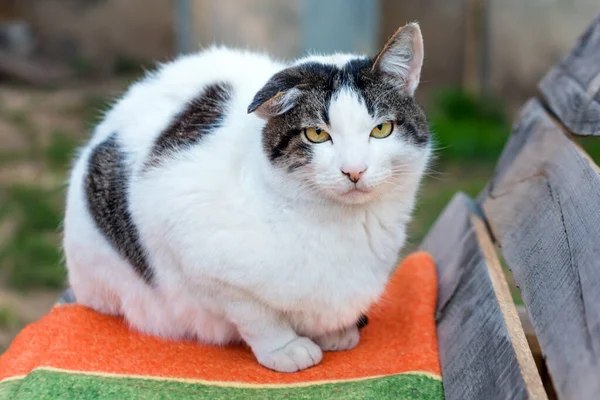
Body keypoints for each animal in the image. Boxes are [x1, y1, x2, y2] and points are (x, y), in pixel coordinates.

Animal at [63, 21, 432, 372]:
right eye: (316, 134)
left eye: (381, 129)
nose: (354, 171)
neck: (343, 228)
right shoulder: (191, 244)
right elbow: (256, 314)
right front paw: (286, 348)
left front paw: (334, 331)